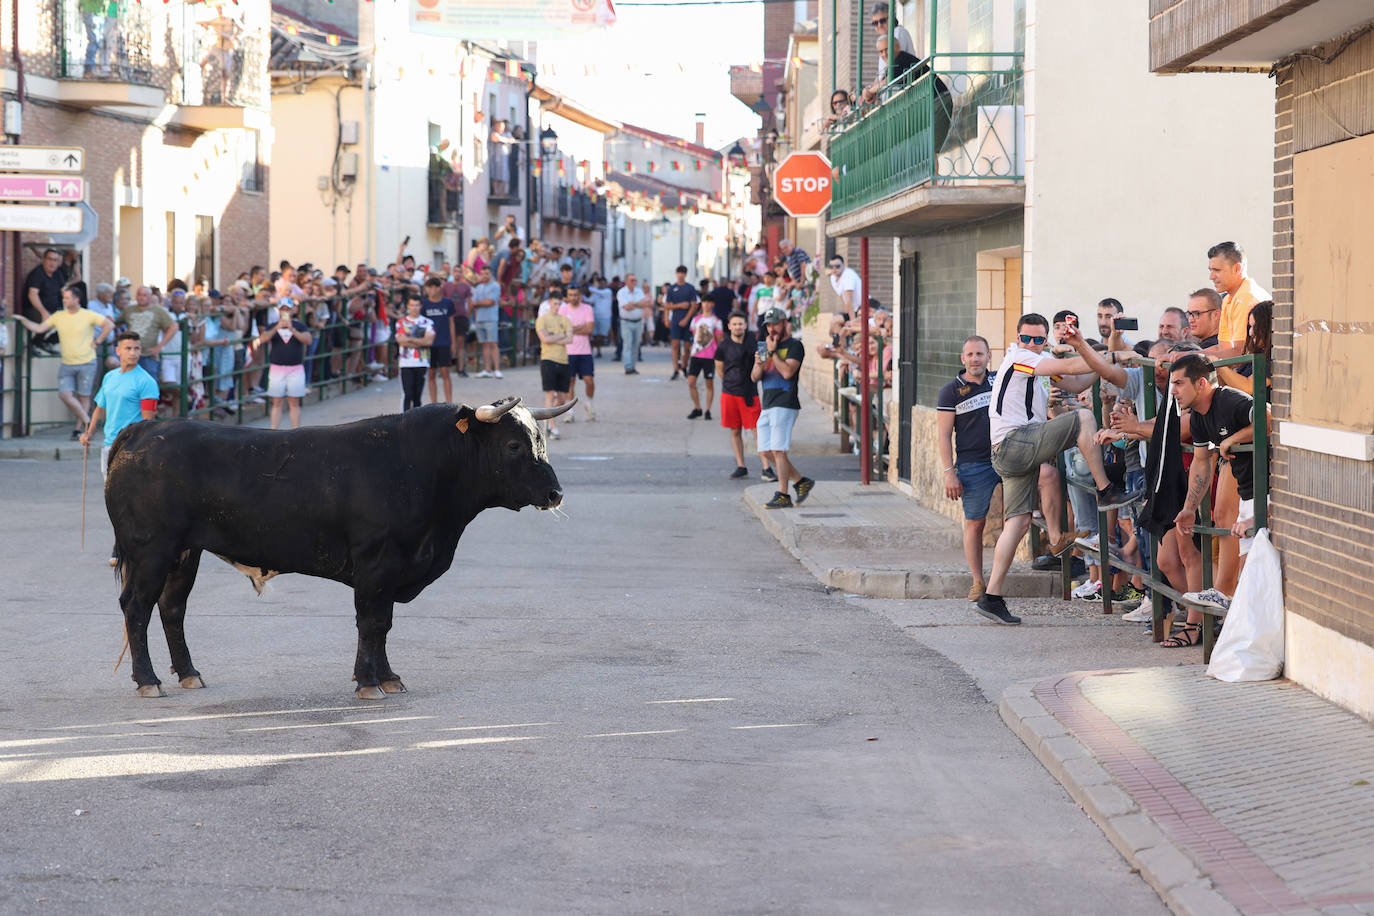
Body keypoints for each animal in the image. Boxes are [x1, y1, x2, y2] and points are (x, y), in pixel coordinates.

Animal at [104, 395, 571, 703]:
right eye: (514, 445)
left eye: (541, 441)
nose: (555, 493)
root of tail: (144, 429)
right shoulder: (376, 566)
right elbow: (371, 622)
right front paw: (368, 683)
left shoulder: (392, 572)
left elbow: (384, 625)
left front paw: (389, 677)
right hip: (151, 551)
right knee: (137, 607)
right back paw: (148, 680)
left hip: (184, 554)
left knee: (172, 607)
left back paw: (188, 674)